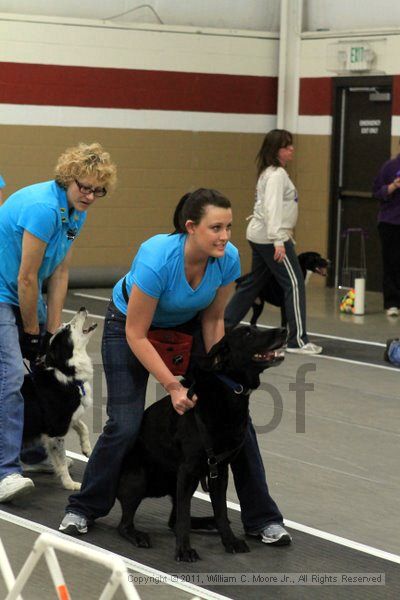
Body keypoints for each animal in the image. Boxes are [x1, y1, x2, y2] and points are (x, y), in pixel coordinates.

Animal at [21, 308, 96, 490]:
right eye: (68, 327)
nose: (82, 308)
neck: (68, 372)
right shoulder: (56, 429)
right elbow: (60, 460)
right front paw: (70, 484)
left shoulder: (69, 417)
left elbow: (83, 427)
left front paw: (87, 448)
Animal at [116, 324, 288, 564]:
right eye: (248, 334)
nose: (283, 330)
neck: (230, 392)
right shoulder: (188, 469)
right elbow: (184, 518)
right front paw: (184, 550)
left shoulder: (219, 470)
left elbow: (221, 511)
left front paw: (229, 540)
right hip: (140, 478)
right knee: (127, 524)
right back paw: (138, 535)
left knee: (175, 517)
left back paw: (208, 522)